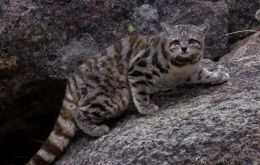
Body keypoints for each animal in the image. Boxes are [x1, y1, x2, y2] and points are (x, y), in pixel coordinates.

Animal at [26, 22, 230, 165]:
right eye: (176, 42)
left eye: (193, 41)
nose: (184, 48)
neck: (181, 64)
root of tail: (71, 81)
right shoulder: (137, 68)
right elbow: (139, 92)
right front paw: (146, 108)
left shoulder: (192, 71)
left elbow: (205, 74)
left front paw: (217, 76)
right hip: (113, 98)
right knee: (78, 113)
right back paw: (95, 129)